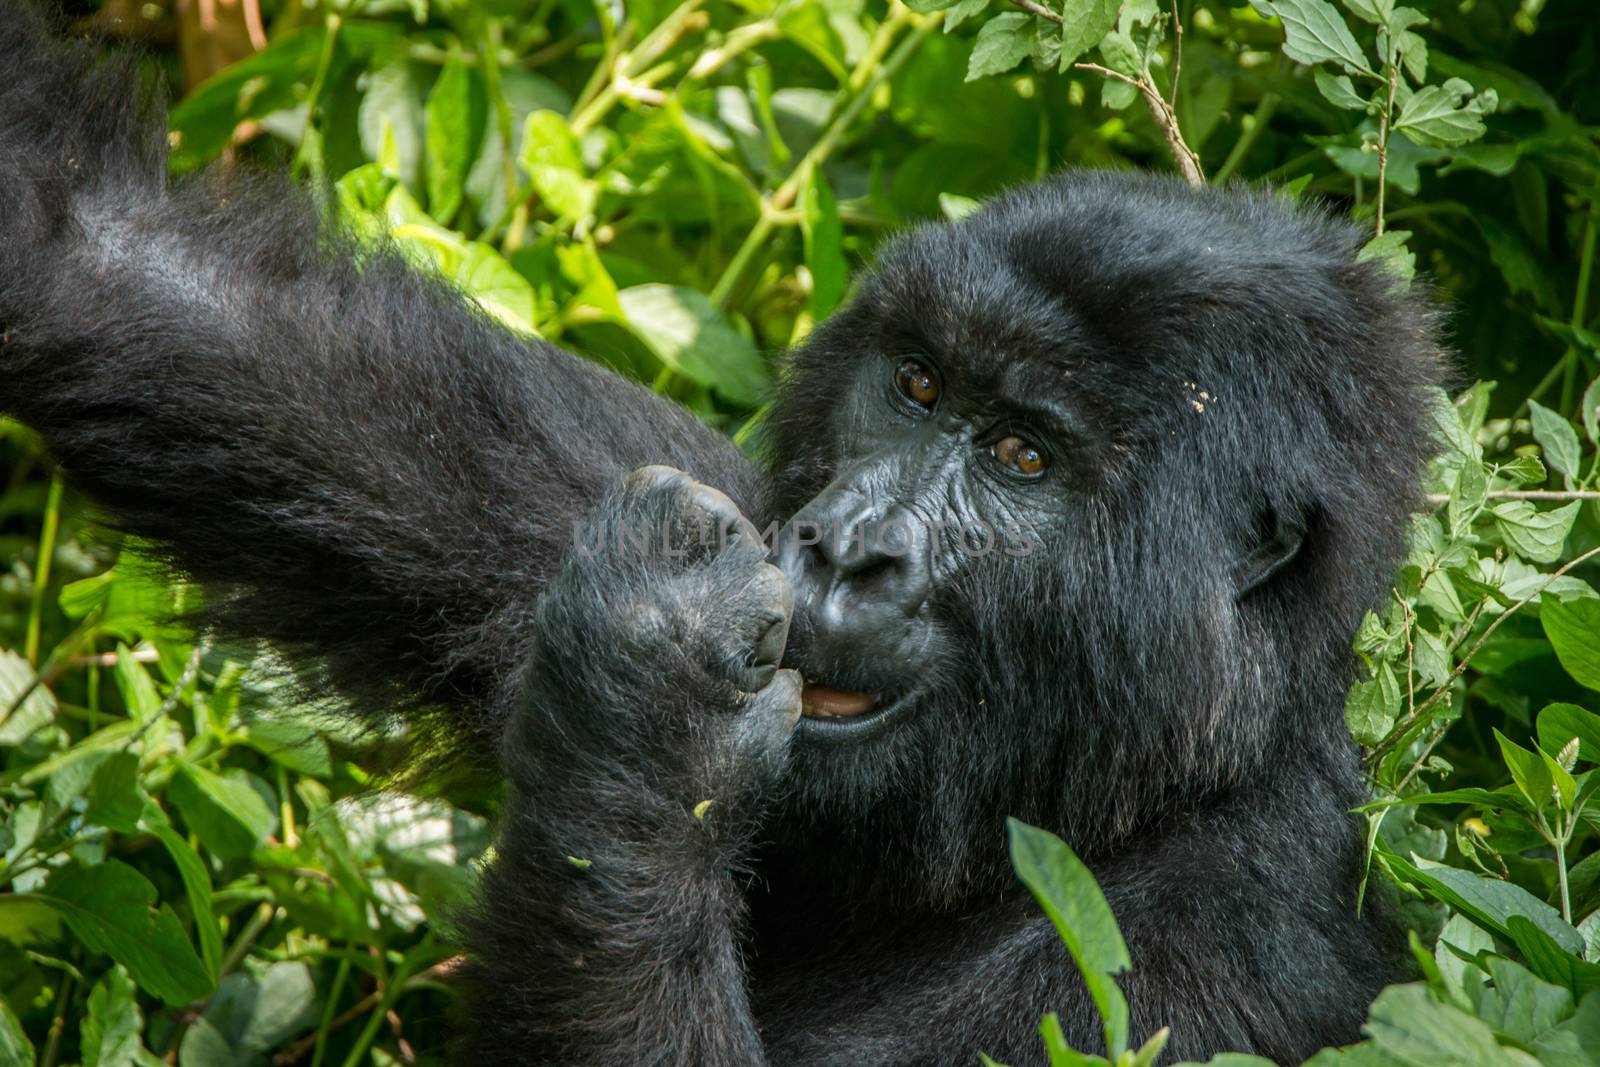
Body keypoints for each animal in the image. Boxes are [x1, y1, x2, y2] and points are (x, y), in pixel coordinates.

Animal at [0, 4, 1446, 1062]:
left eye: (1024, 456)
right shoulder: (677, 491)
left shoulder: (1204, 963)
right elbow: (94, 249)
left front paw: (659, 717)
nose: (844, 544)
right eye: (917, 385)